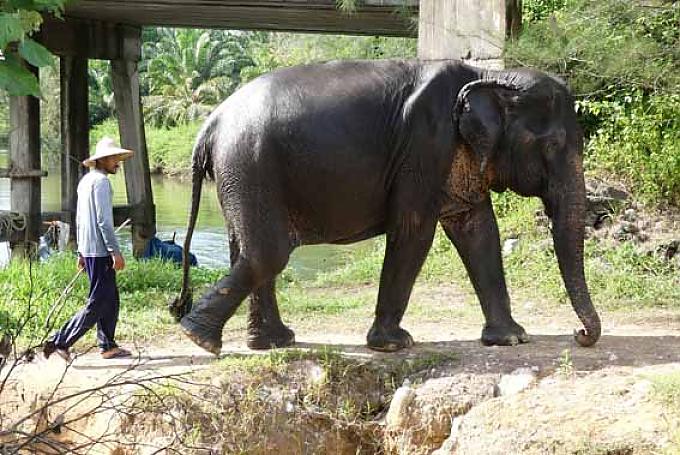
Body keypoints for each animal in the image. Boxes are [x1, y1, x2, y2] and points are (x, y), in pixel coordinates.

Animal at [169, 59, 601, 354]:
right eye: (553, 145)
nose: (579, 336)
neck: (488, 74)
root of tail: (210, 123)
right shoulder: (424, 145)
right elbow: (414, 230)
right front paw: (394, 344)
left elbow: (479, 232)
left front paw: (511, 339)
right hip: (249, 165)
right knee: (268, 253)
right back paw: (200, 338)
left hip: (241, 175)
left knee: (247, 249)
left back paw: (271, 342)